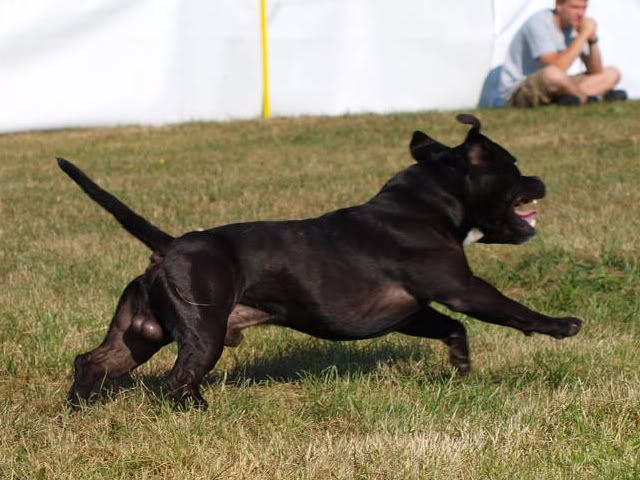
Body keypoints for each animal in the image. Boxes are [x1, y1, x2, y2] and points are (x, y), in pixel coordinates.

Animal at [59, 114, 582, 410]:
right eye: (514, 167)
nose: (540, 180)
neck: (426, 203)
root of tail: (171, 246)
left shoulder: (411, 310)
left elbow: (453, 327)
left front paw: (461, 365)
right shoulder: (461, 288)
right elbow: (512, 310)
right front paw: (562, 326)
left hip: (141, 331)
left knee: (93, 361)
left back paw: (77, 410)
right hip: (202, 333)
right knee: (176, 380)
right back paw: (199, 412)